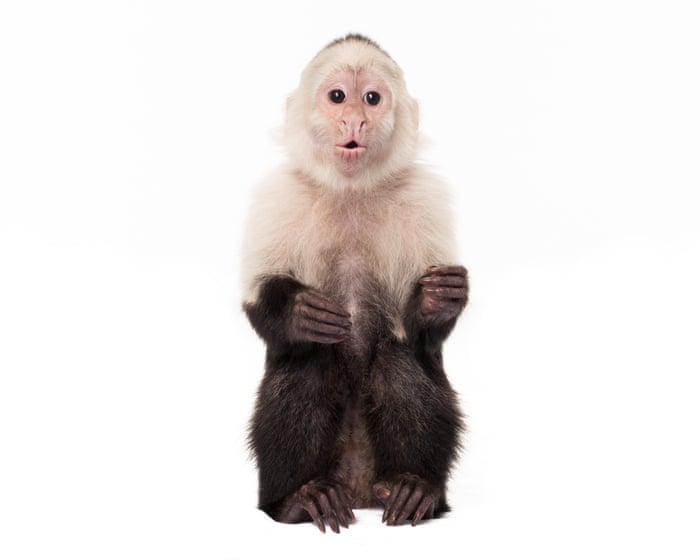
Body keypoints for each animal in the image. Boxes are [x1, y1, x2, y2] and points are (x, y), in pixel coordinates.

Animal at [241, 34, 468, 533]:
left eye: (371, 98)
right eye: (337, 96)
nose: (354, 121)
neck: (351, 191)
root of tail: (360, 488)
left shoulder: (424, 198)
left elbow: (426, 337)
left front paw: (435, 301)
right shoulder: (279, 195)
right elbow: (257, 306)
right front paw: (298, 310)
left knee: (399, 358)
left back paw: (414, 488)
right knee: (308, 361)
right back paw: (299, 498)